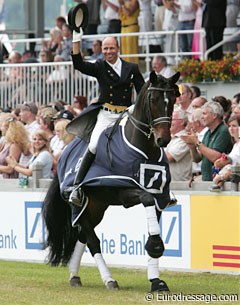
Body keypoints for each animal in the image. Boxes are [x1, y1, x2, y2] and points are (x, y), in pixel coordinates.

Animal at [43, 70, 180, 290]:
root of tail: (65, 153)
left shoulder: (160, 196)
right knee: (92, 241)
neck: (144, 151)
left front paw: (156, 280)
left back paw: (74, 276)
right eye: (153, 99)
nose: (163, 139)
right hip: (80, 205)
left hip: (96, 206)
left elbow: (153, 221)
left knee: (83, 237)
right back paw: (109, 279)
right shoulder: (125, 191)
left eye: (174, 99)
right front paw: (156, 246)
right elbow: (146, 199)